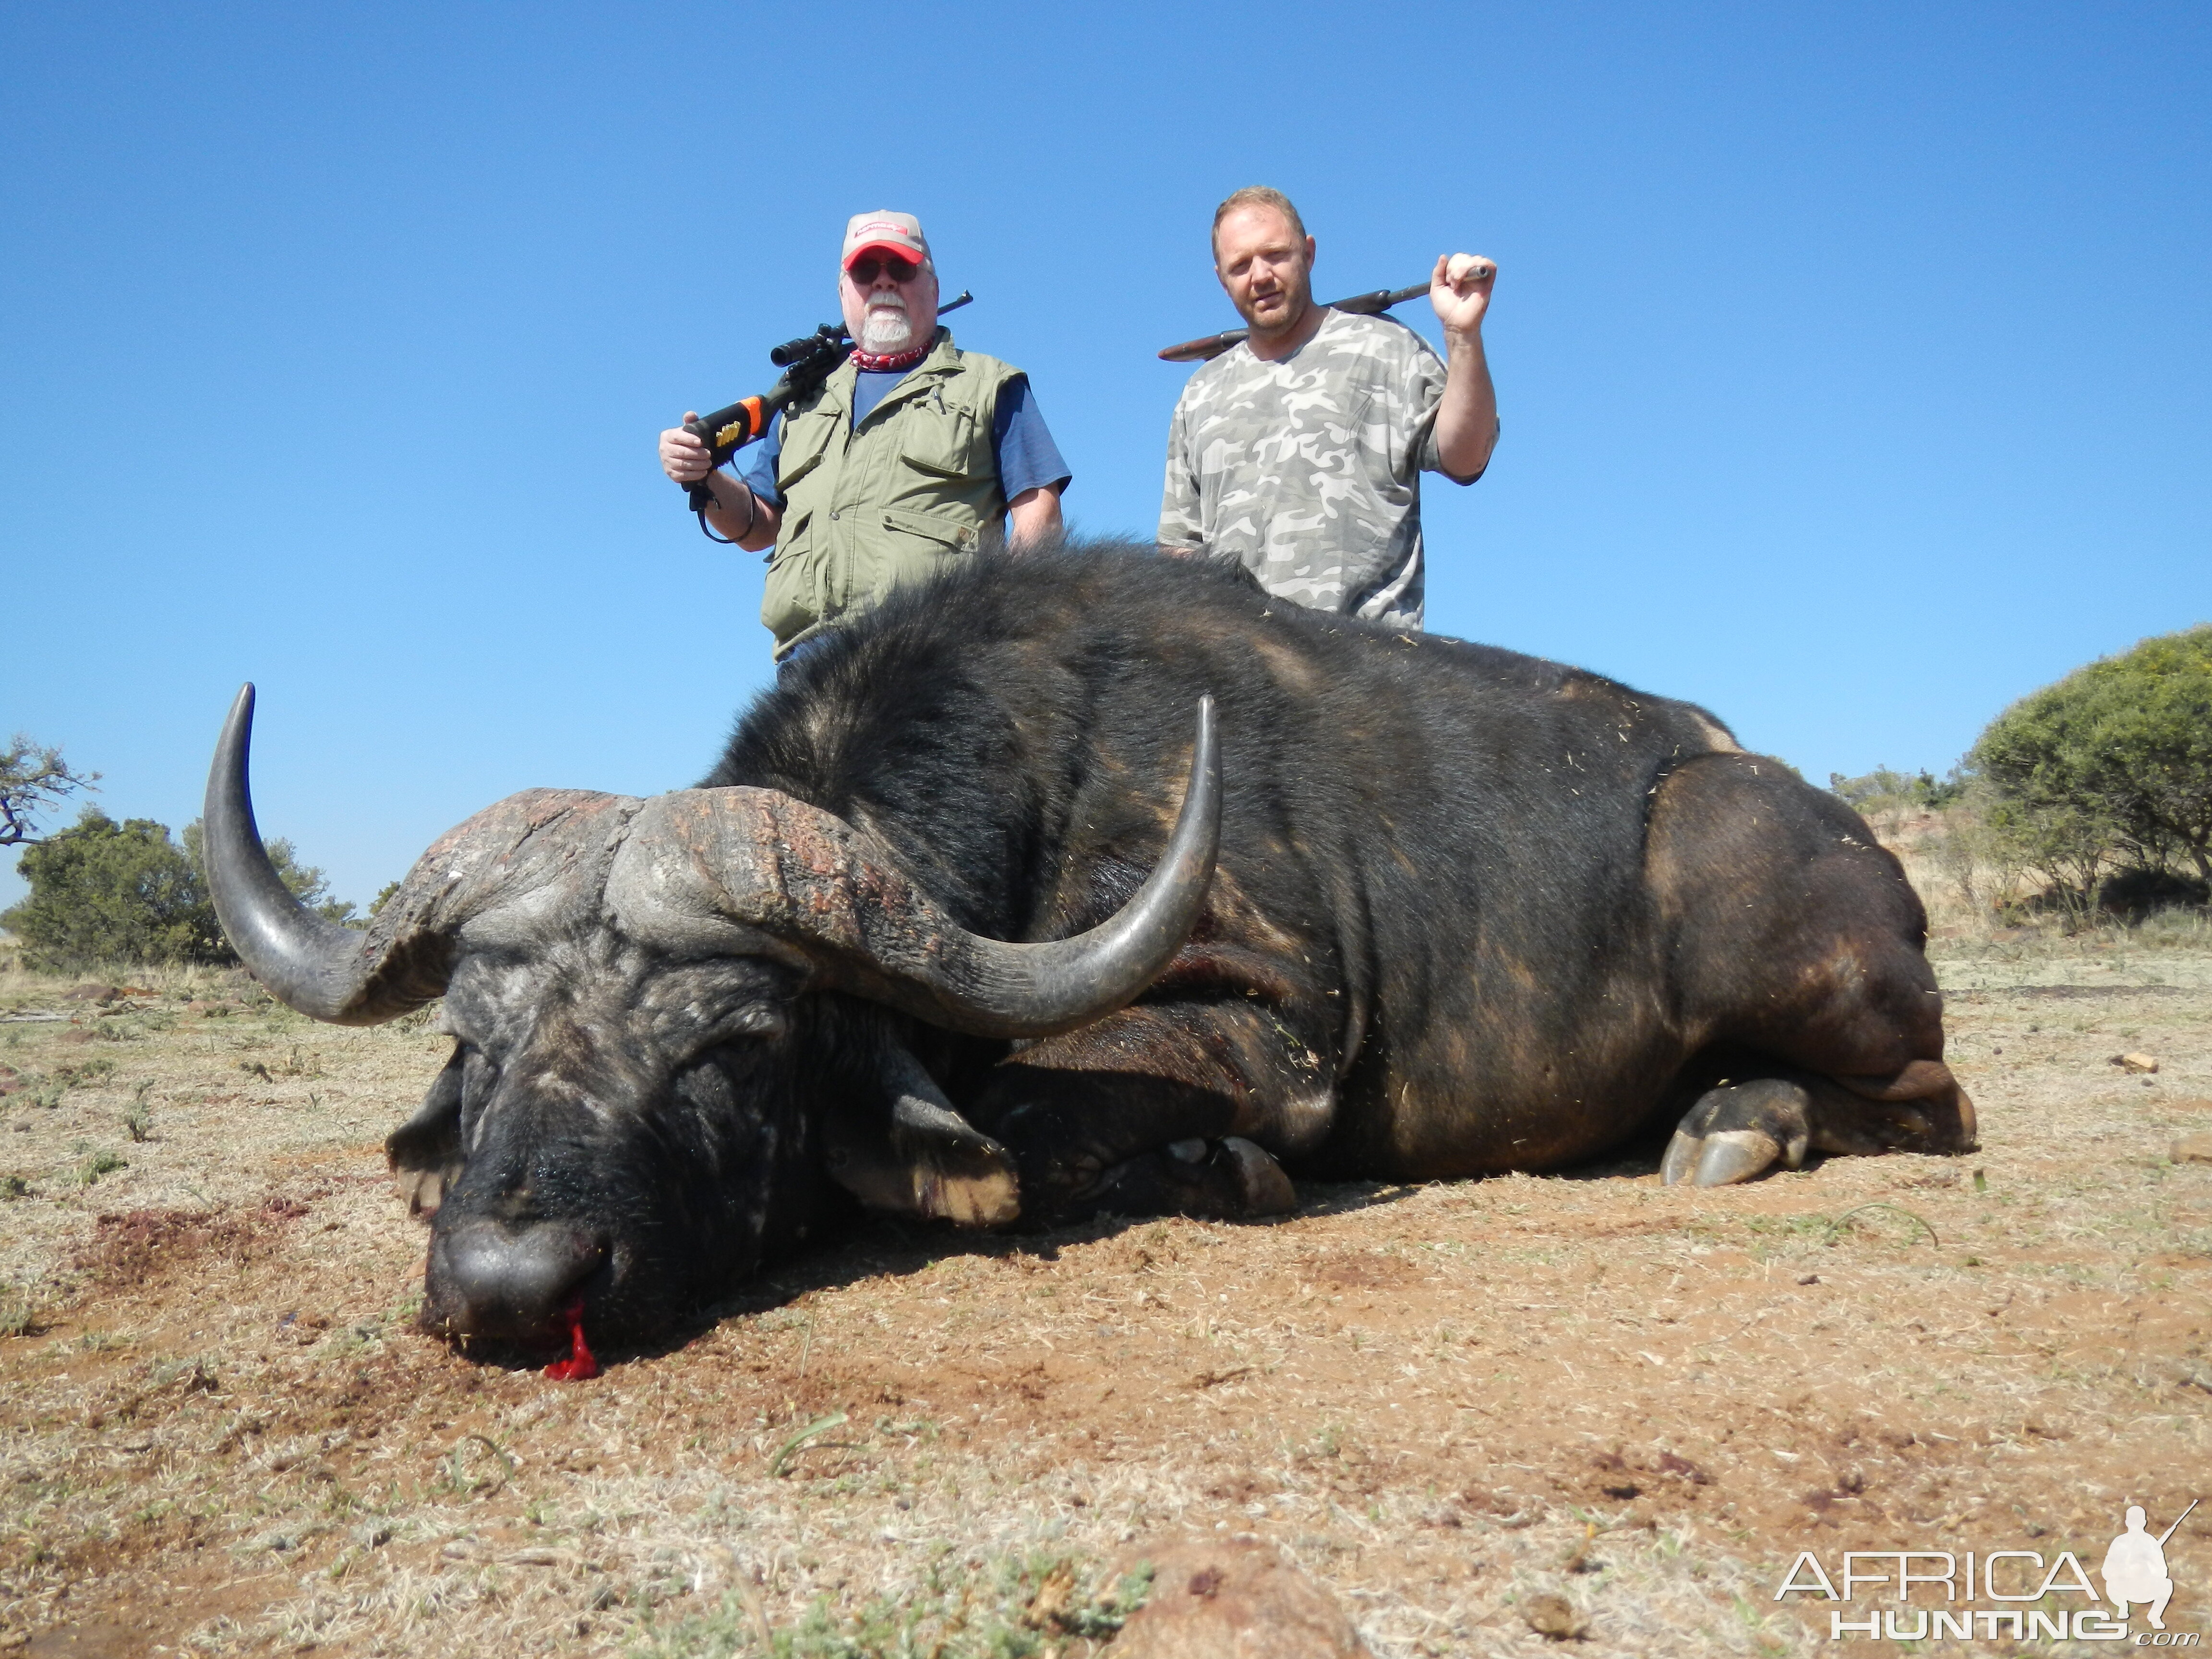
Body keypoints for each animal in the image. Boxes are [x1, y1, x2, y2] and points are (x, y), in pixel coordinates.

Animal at [203, 548, 1973, 1354]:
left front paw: (1216, 1169)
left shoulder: (1262, 1025)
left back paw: (1740, 1123)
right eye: (476, 1040)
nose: (511, 1287)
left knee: (1931, 1104)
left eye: (733, 1046)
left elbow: (1034, 1123)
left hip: (1765, 910)